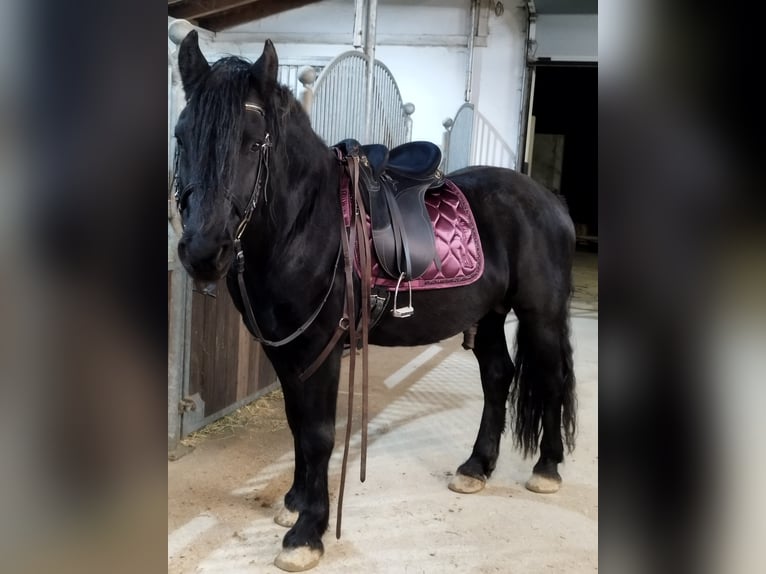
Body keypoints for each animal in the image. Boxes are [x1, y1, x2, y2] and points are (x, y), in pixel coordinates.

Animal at [173, 31, 576, 572]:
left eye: (254, 141)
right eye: (181, 137)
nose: (203, 251)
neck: (306, 224)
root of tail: (547, 199)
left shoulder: (320, 349)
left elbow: (319, 433)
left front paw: (308, 533)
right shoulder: (286, 351)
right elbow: (297, 423)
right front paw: (295, 503)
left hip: (541, 314)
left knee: (550, 380)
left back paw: (547, 468)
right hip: (488, 315)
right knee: (498, 377)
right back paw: (475, 467)